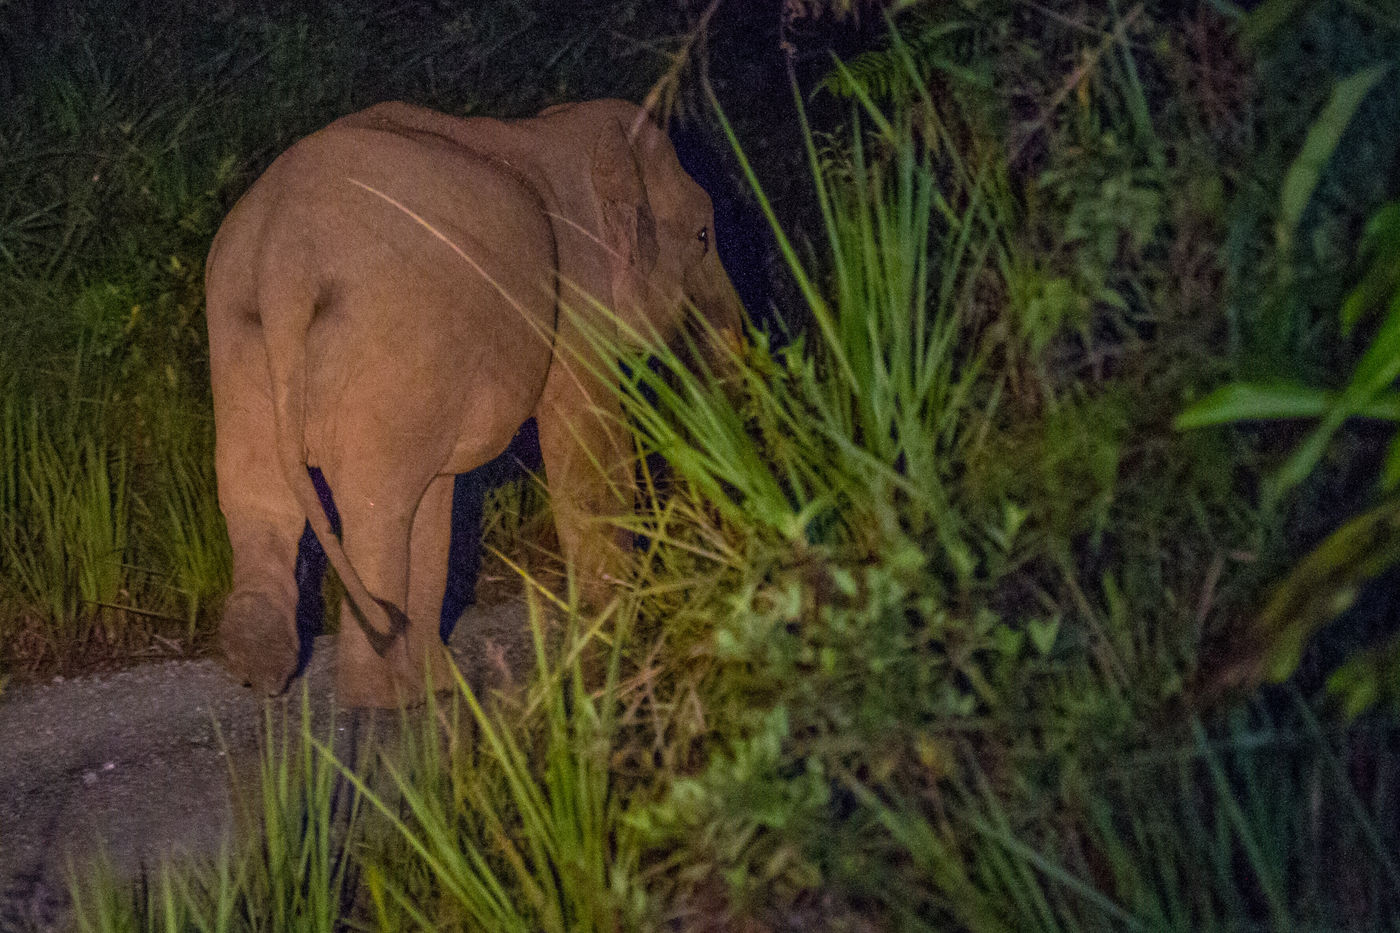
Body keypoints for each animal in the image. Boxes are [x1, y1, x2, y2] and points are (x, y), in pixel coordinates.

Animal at [204, 95, 750, 706]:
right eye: (702, 236)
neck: (565, 129)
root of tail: (285, 261)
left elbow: (438, 505)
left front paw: (442, 685)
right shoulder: (574, 298)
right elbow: (590, 451)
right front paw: (622, 635)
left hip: (239, 329)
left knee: (260, 495)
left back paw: (265, 670)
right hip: (388, 331)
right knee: (375, 508)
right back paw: (379, 699)